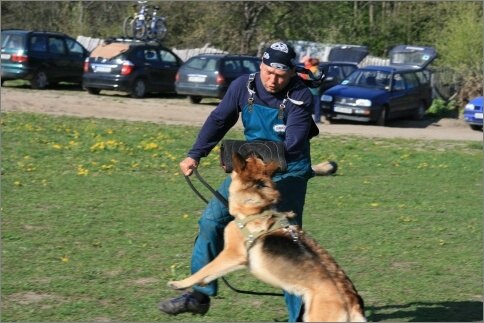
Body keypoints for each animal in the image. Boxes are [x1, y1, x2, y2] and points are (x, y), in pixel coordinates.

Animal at [168, 153, 364, 322]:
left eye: (247, 158)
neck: (255, 209)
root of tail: (353, 304)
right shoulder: (237, 260)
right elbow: (210, 273)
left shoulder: (231, 254)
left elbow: (204, 269)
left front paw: (179, 283)